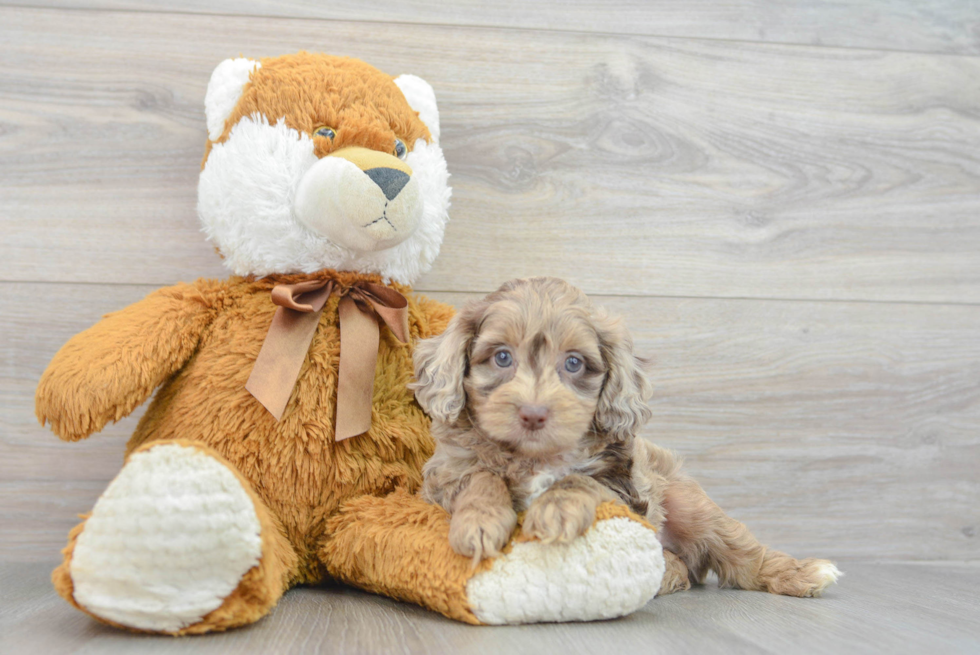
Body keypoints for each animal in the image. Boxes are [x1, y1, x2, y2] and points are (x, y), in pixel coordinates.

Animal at [414, 278, 844, 600]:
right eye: (502, 357)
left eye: (574, 363)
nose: (533, 414)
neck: (533, 457)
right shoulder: (442, 476)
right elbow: (480, 476)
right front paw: (479, 522)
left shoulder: (623, 489)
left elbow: (579, 478)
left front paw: (556, 509)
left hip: (689, 503)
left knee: (743, 558)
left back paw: (804, 572)